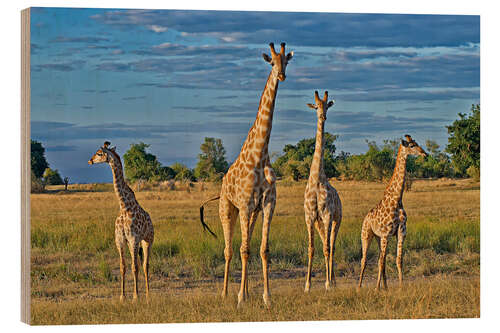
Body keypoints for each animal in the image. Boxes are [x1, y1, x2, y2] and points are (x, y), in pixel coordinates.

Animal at [88, 141, 154, 300]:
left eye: (99, 153)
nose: (90, 161)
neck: (124, 207)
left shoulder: (134, 239)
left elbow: (135, 267)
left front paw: (136, 297)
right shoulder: (120, 240)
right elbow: (123, 267)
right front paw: (122, 296)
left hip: (148, 240)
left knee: (145, 265)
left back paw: (148, 294)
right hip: (135, 243)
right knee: (140, 264)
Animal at [199, 42, 292, 308]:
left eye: (287, 61)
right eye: (272, 62)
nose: (281, 75)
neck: (259, 154)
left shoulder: (267, 204)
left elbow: (262, 250)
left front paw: (266, 297)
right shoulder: (245, 204)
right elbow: (242, 250)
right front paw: (240, 298)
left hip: (250, 212)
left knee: (246, 245)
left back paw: (248, 292)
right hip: (228, 209)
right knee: (230, 249)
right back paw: (225, 293)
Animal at [358, 134, 428, 290]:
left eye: (417, 143)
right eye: (412, 145)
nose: (425, 154)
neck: (397, 200)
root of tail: (365, 218)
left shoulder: (401, 232)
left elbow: (398, 260)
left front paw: (400, 286)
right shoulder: (386, 233)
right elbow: (381, 262)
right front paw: (376, 288)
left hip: (379, 238)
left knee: (380, 259)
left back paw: (385, 287)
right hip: (367, 234)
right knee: (364, 260)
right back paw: (359, 287)